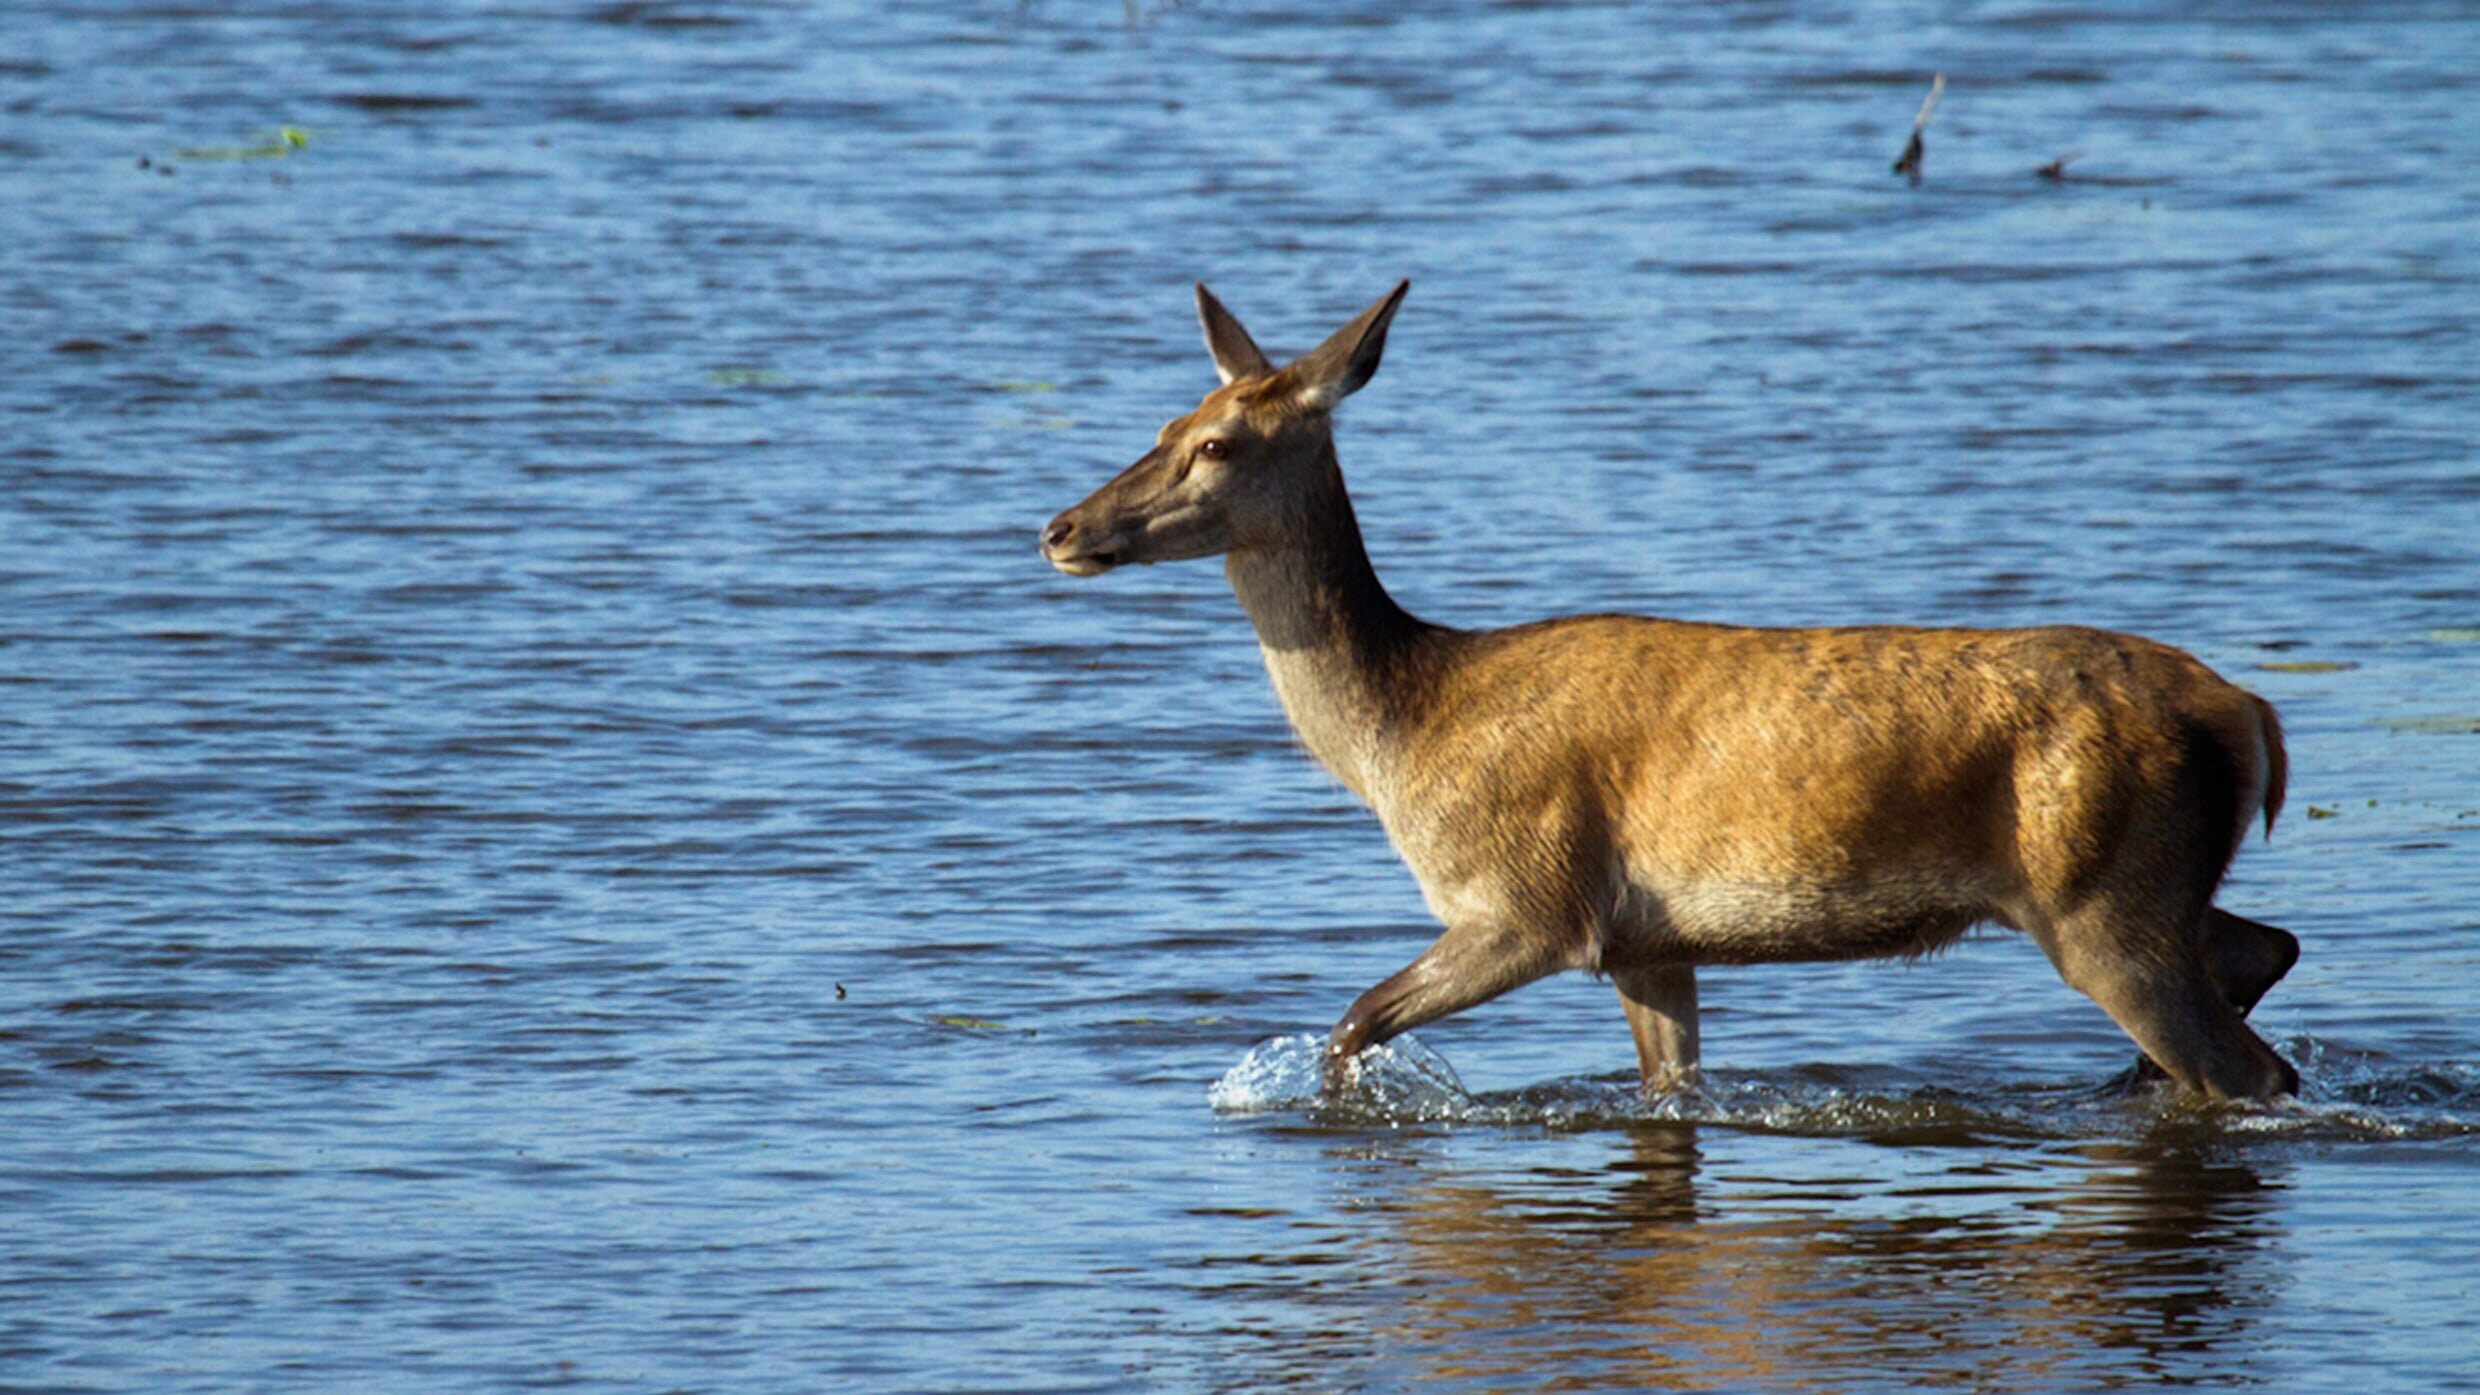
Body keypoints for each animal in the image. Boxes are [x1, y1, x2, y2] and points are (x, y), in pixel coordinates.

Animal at [1041, 282, 2301, 1102]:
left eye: (1215, 445)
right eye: (1162, 423)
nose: (1059, 528)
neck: (1407, 730)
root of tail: (2249, 717)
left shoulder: (1528, 900)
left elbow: (1352, 1023)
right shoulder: (1647, 939)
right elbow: (1666, 1092)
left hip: (2099, 900)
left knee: (2251, 1072)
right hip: (2144, 888)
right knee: (2265, 948)